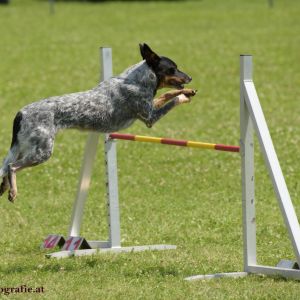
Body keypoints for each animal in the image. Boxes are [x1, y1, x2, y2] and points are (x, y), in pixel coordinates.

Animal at [0, 42, 197, 202]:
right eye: (173, 68)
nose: (190, 78)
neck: (138, 80)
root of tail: (20, 113)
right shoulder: (150, 117)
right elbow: (173, 99)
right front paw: (183, 97)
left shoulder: (150, 106)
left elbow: (167, 94)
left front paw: (188, 91)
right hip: (42, 152)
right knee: (12, 167)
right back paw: (13, 192)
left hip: (24, 148)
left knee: (5, 168)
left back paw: (4, 187)